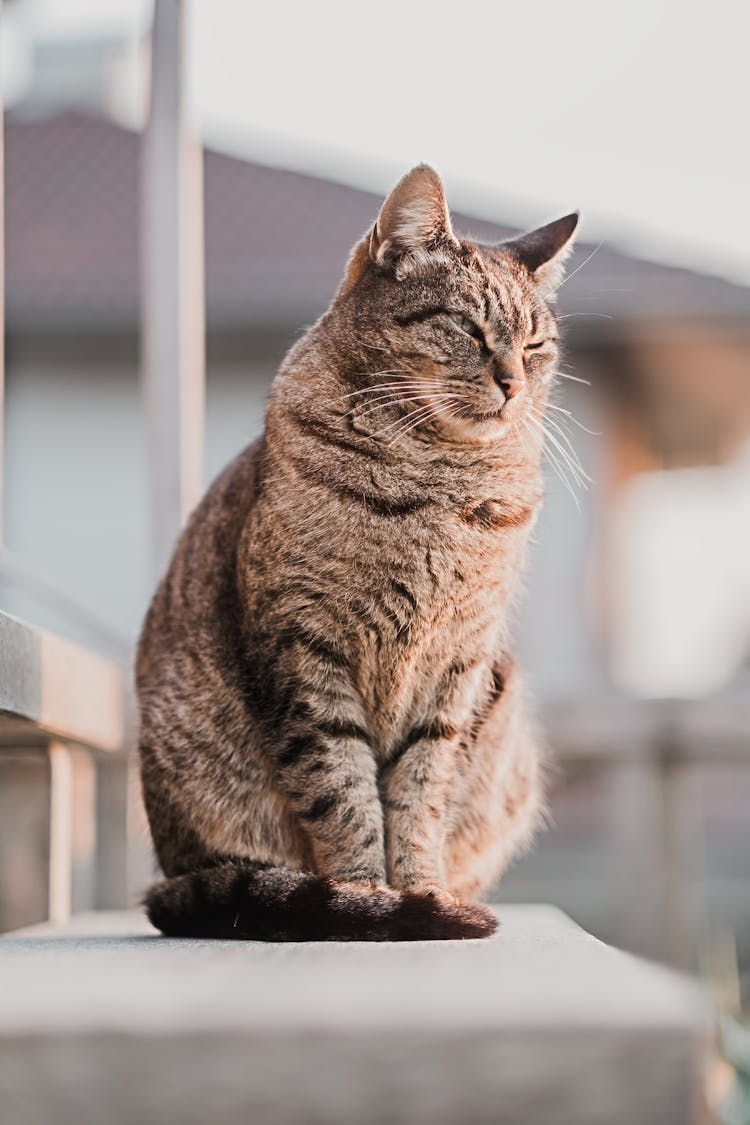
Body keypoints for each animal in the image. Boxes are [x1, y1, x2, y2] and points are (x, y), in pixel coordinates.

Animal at [137, 166, 580, 940]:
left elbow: (420, 793)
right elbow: (342, 791)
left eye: (535, 347)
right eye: (467, 327)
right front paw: (369, 897)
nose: (514, 383)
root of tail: (172, 874)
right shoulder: (305, 652)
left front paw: (422, 891)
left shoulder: (457, 667)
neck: (437, 481)